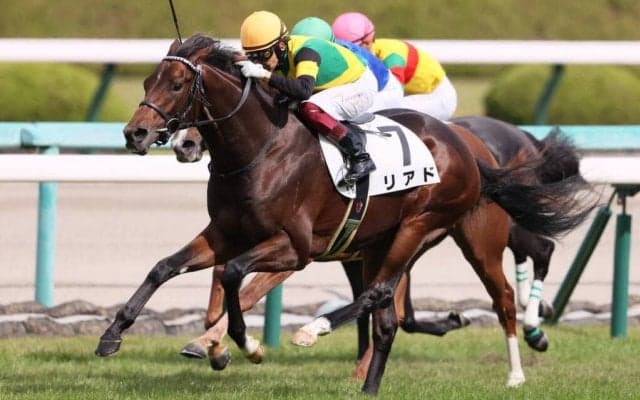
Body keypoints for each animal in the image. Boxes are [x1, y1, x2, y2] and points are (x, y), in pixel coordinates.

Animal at [97, 35, 593, 395]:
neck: (260, 150)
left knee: (491, 293)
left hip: (440, 228)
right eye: (146, 82)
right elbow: (165, 268)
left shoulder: (294, 249)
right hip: (384, 242)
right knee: (386, 310)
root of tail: (468, 149)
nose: (134, 133)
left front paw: (245, 345)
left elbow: (236, 276)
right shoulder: (224, 232)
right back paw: (367, 385)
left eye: (177, 85)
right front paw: (113, 335)